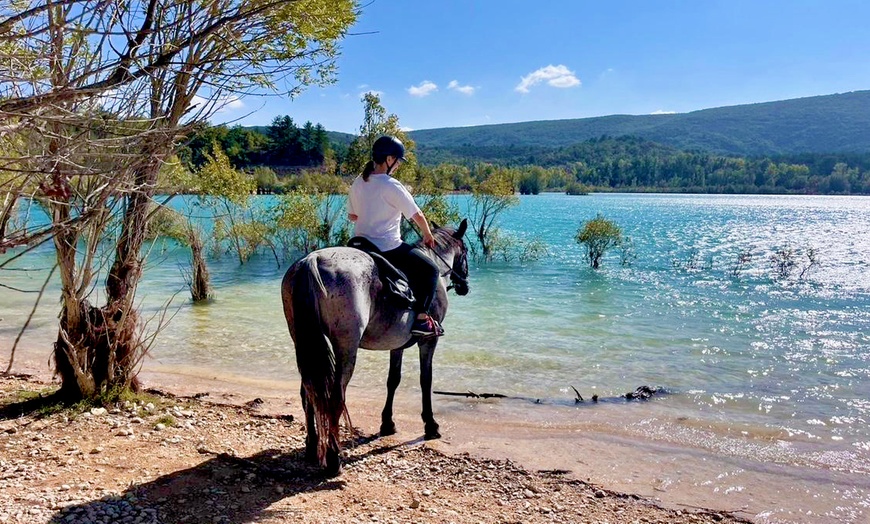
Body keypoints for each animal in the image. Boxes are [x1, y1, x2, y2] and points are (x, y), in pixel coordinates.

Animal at [282, 217, 470, 474]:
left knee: (309, 393)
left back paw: (311, 447)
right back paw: (333, 460)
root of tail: (312, 261)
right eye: (467, 250)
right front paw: (431, 425)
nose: (465, 285)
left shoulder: (397, 344)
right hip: (346, 348)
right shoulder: (428, 342)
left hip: (304, 343)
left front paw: (387, 423)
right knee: (335, 398)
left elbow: (393, 380)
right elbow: (425, 381)